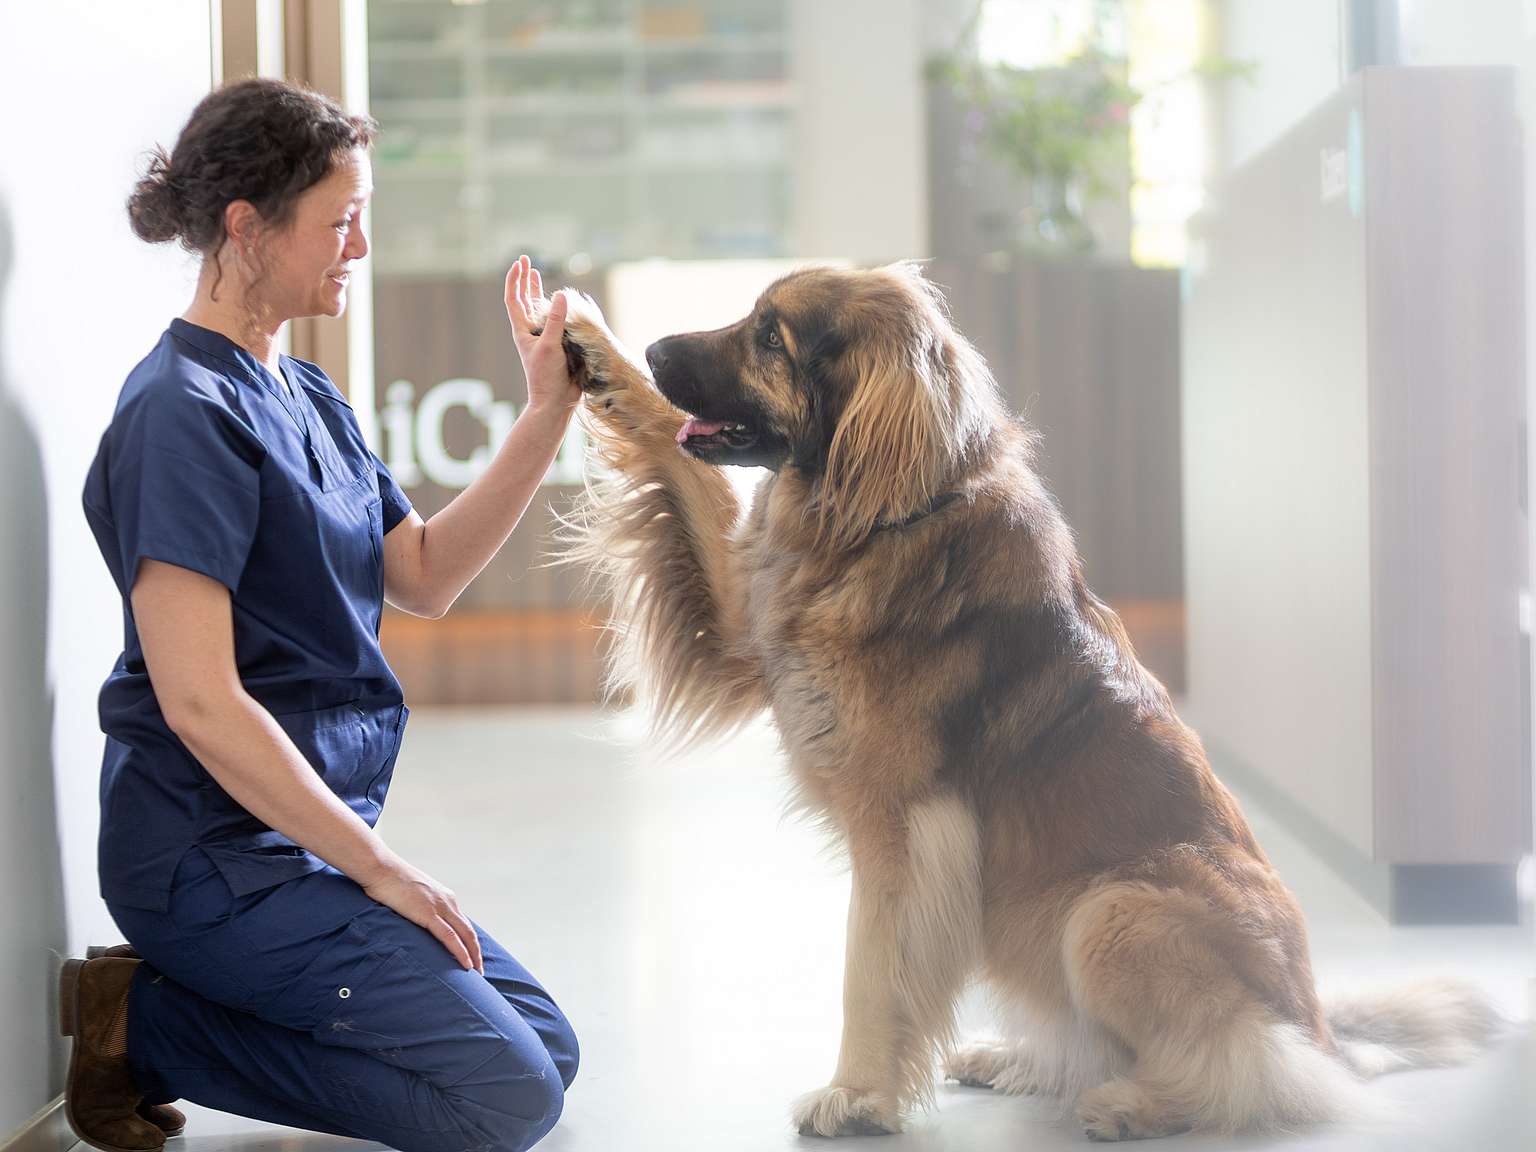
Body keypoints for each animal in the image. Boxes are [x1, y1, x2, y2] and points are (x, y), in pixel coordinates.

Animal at [546, 265, 1492, 1142]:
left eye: (771, 338)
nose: (658, 347)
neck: (890, 516)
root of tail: (1324, 1025)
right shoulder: (743, 623)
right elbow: (676, 456)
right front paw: (595, 347)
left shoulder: (901, 829)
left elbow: (869, 969)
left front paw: (857, 1094)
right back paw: (1018, 1060)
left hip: (1111, 914)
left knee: (1250, 1070)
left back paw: (1136, 1103)